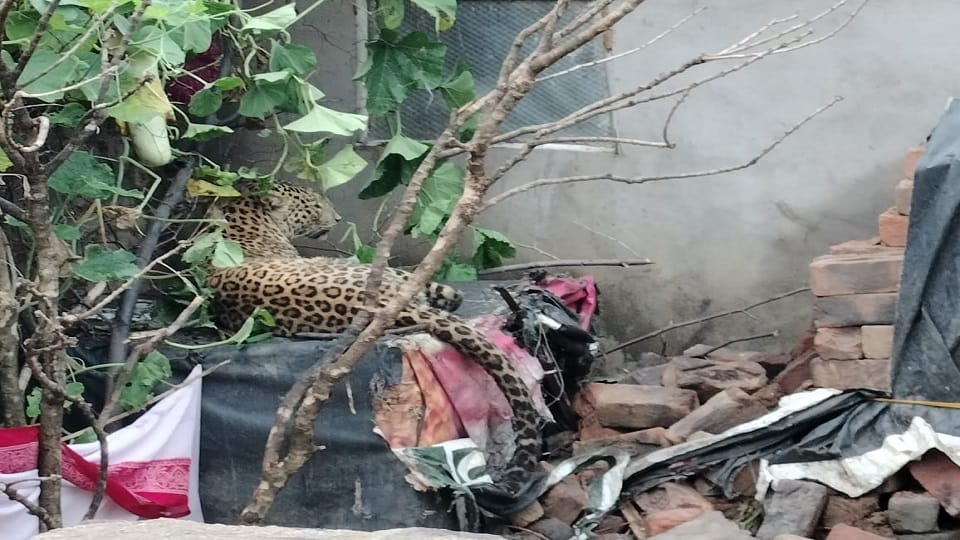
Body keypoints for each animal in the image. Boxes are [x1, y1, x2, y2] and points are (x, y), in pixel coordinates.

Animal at [204, 183, 543, 486]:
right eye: (314, 205)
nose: (337, 218)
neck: (244, 216)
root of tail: (381, 308)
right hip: (388, 273)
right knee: (449, 294)